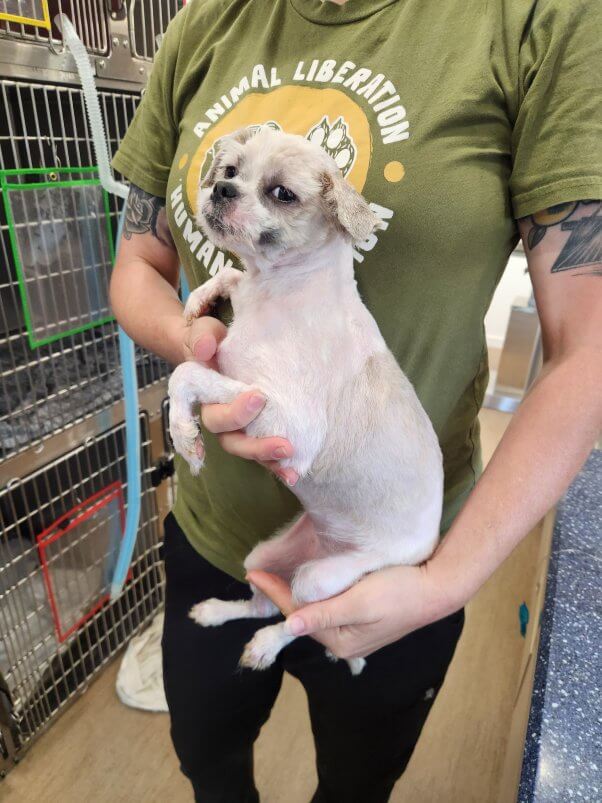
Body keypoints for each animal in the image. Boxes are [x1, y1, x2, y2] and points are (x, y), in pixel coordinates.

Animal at [166, 129, 442, 676]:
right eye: (230, 170)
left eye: (282, 194)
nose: (221, 189)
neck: (277, 292)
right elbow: (230, 280)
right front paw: (199, 299)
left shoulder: (287, 426)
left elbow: (186, 374)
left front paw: (185, 438)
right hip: (264, 556)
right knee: (263, 602)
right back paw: (217, 612)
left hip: (324, 580)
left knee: (299, 619)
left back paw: (267, 646)